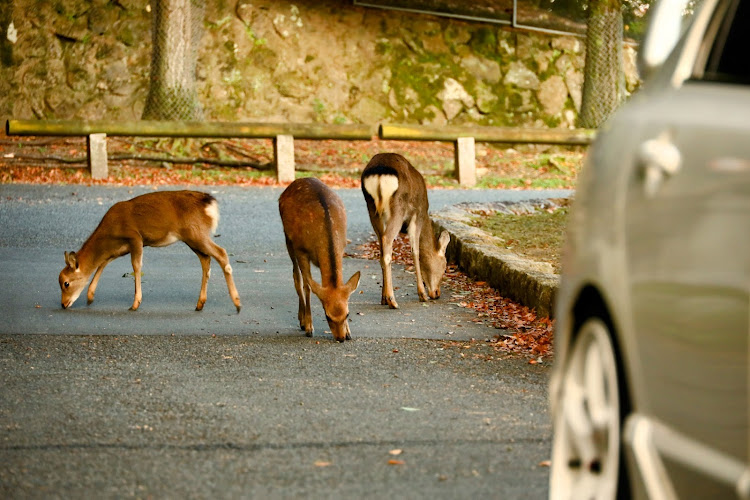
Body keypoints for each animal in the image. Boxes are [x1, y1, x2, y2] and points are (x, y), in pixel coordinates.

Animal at [58, 190, 241, 312]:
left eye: (66, 283)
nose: (63, 304)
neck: (110, 231)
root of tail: (209, 204)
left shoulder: (135, 237)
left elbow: (136, 266)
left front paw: (135, 303)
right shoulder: (119, 248)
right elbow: (102, 263)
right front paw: (90, 297)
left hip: (196, 232)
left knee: (221, 253)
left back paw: (237, 303)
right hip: (192, 237)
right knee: (206, 260)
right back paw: (200, 304)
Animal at [282, 177, 364, 344]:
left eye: (348, 314)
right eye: (327, 316)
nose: (341, 338)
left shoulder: (342, 248)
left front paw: (349, 332)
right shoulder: (301, 250)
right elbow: (307, 286)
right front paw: (309, 327)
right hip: (288, 239)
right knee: (296, 276)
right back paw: (302, 321)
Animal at [364, 152, 452, 308]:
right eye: (444, 267)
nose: (437, 293)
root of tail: (379, 173)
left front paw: (383, 298)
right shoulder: (418, 214)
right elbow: (415, 251)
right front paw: (422, 294)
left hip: (372, 209)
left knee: (382, 248)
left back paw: (386, 298)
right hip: (398, 208)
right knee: (387, 241)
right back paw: (393, 300)